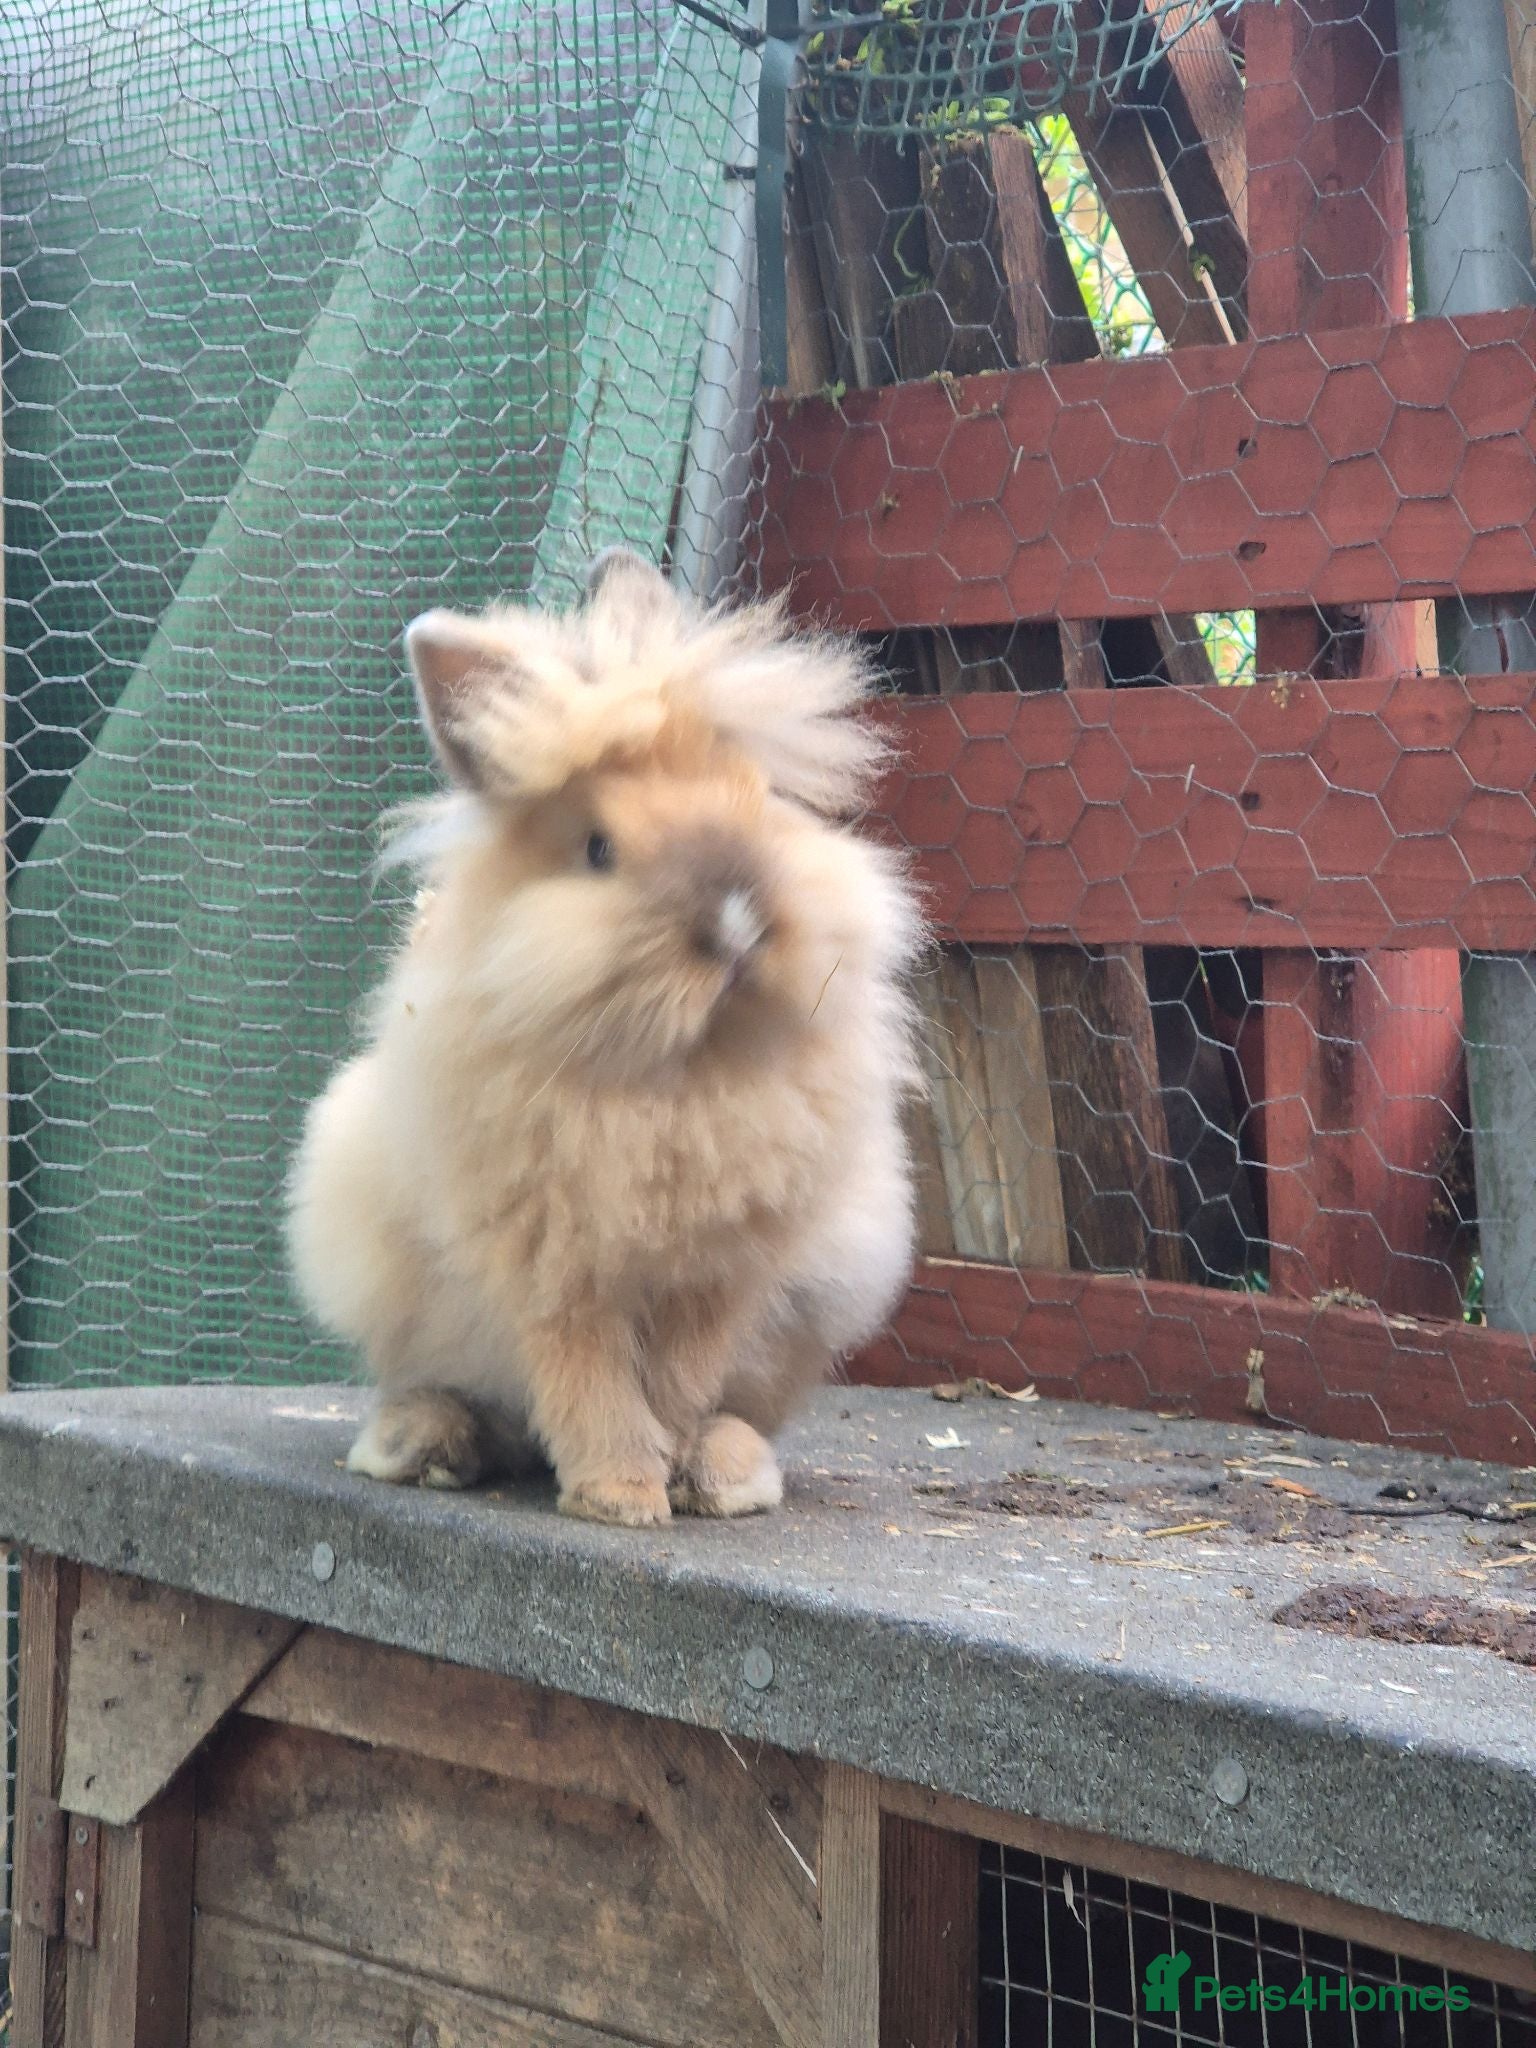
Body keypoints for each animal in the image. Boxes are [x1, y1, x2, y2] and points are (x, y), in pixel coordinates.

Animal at [286, 548, 925, 1525]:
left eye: (758, 801)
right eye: (597, 849)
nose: (739, 925)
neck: (677, 1076)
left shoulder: (721, 1275)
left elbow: (675, 1382)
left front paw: (668, 1477)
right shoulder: (554, 1269)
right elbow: (587, 1381)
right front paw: (620, 1495)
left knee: (735, 1410)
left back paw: (730, 1470)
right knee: (473, 1406)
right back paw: (418, 1443)